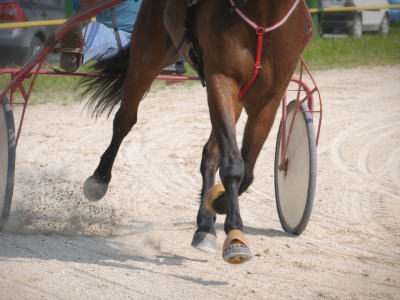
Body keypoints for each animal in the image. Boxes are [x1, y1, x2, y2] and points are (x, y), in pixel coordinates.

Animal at [81, 0, 304, 264]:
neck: (263, 18)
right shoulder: (221, 81)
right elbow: (233, 166)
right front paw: (235, 234)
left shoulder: (268, 99)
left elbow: (246, 172)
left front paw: (216, 205)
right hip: (147, 56)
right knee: (124, 119)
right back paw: (99, 178)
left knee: (210, 153)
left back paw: (205, 225)